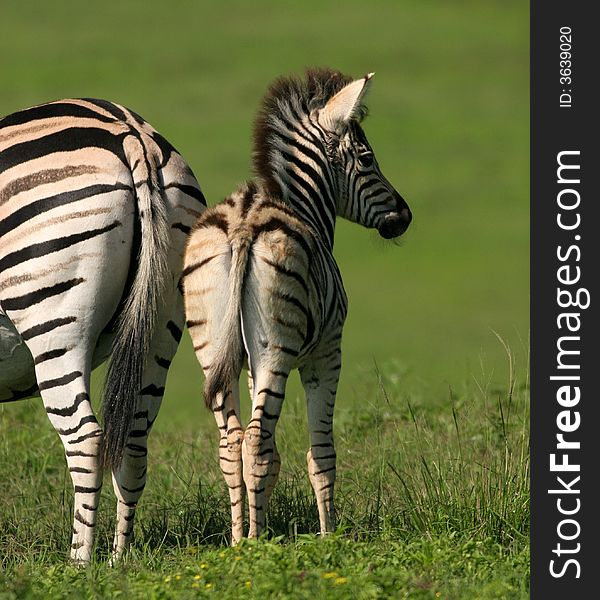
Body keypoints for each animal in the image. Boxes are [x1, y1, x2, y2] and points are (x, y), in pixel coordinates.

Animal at [0, 98, 206, 564]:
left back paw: (79, 561)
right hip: (161, 321)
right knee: (133, 443)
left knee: (87, 440)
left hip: (54, 321)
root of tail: (131, 134)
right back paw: (118, 559)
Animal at [183, 68, 412, 540]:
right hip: (277, 349)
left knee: (233, 443)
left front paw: (265, 520)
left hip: (215, 350)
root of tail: (242, 223)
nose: (406, 216)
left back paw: (239, 538)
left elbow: (273, 452)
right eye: (367, 159)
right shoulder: (327, 352)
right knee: (255, 442)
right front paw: (330, 534)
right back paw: (255, 542)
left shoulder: (251, 366)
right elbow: (321, 453)